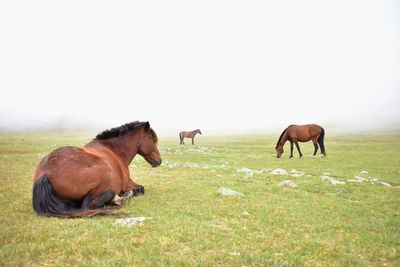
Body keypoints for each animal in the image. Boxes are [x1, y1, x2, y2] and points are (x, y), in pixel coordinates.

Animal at [32, 122, 161, 219]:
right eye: (153, 140)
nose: (159, 160)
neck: (114, 150)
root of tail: (44, 173)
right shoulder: (127, 183)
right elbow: (141, 189)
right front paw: (126, 194)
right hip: (105, 172)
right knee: (88, 205)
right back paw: (118, 199)